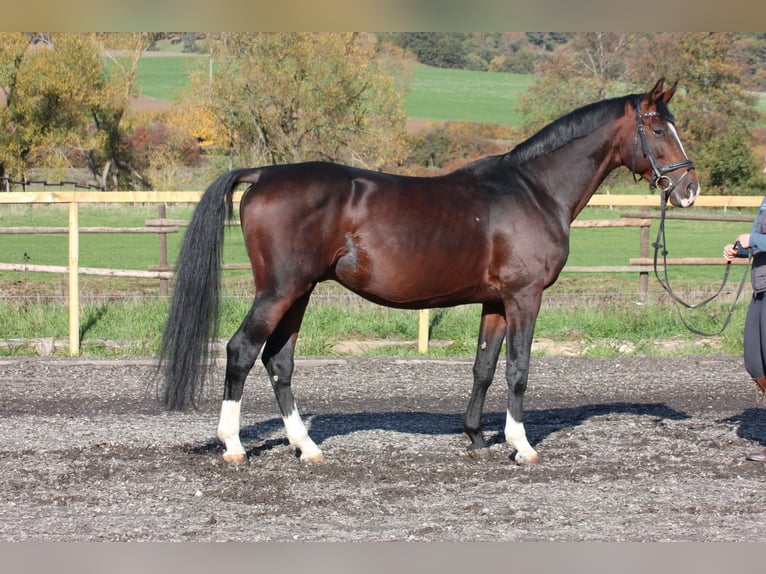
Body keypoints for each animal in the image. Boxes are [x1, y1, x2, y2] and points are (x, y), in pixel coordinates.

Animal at [158, 77, 704, 468]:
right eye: (659, 130)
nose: (690, 189)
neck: (532, 190)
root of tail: (265, 173)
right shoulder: (525, 297)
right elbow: (519, 369)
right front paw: (522, 446)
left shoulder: (495, 301)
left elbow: (485, 367)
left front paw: (477, 439)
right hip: (279, 290)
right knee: (242, 351)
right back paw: (233, 446)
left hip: (301, 292)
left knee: (279, 361)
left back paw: (306, 447)